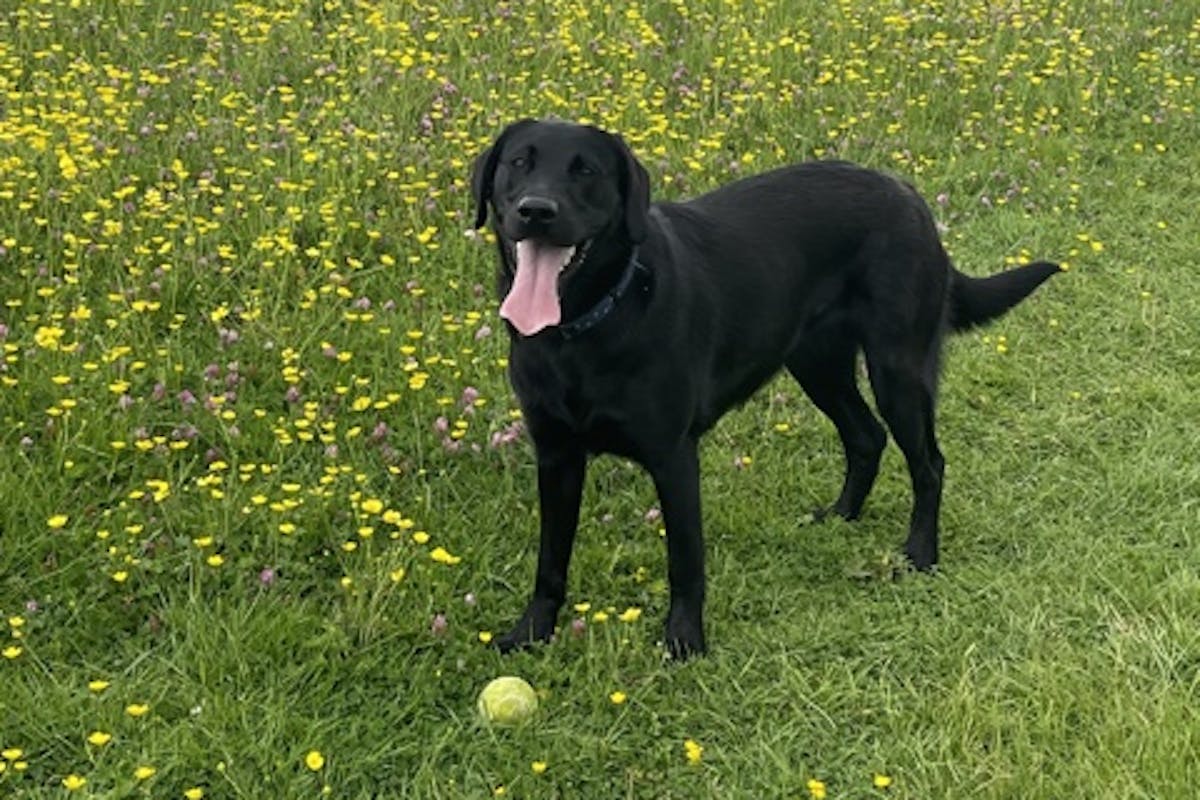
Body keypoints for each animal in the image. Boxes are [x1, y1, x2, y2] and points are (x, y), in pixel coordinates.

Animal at [468, 117, 1060, 657]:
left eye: (585, 171)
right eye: (520, 162)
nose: (536, 211)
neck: (584, 327)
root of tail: (909, 196)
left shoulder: (673, 455)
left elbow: (685, 560)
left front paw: (685, 642)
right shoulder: (556, 455)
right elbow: (550, 560)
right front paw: (531, 633)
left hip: (898, 370)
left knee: (929, 463)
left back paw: (919, 554)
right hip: (817, 364)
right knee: (865, 435)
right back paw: (840, 515)